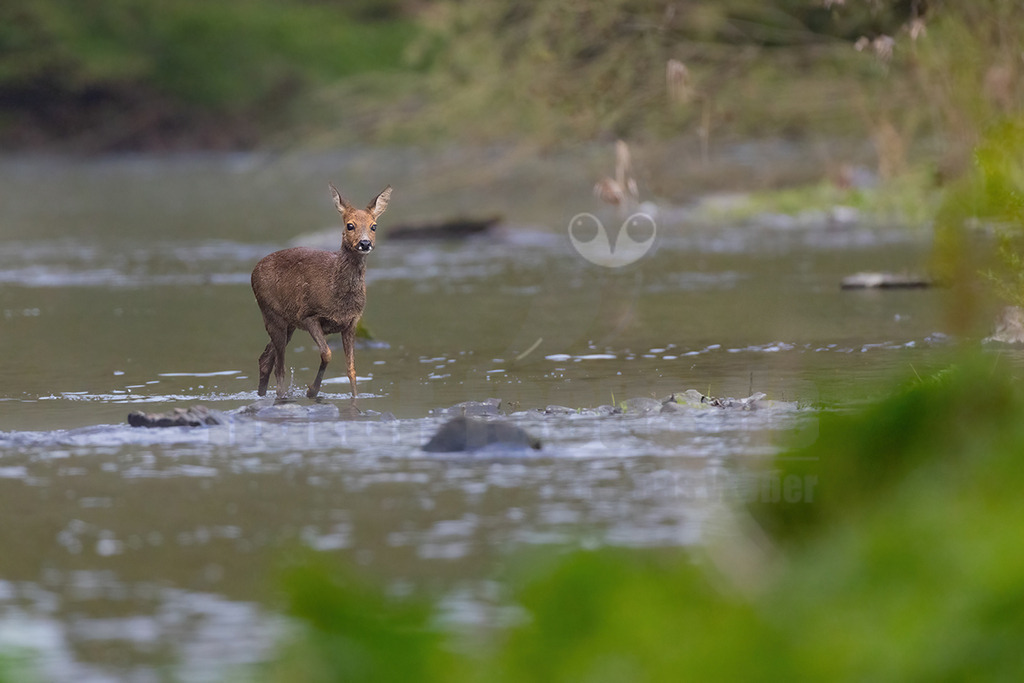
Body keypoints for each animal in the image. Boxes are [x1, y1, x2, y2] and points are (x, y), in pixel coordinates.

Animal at [251, 183, 391, 400]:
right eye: (350, 225)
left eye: (374, 226)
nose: (365, 243)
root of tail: (253, 271)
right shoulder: (309, 315)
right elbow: (327, 353)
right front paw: (311, 391)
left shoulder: (351, 322)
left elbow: (351, 369)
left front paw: (354, 399)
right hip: (271, 313)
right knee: (279, 367)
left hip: (288, 323)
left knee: (265, 359)